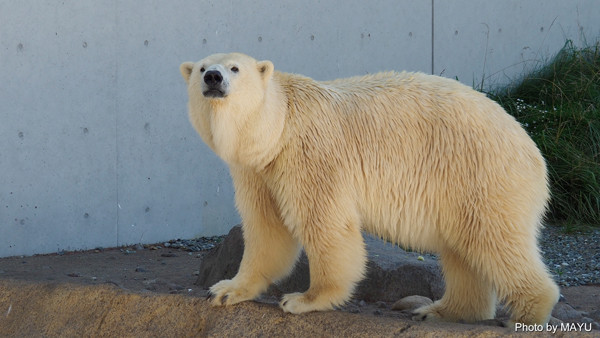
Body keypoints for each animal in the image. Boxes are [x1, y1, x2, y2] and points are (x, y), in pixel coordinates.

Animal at [178, 52, 556, 324]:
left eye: (235, 67)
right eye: (201, 68)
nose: (213, 78)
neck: (278, 127)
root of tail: (531, 147)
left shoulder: (309, 154)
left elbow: (325, 224)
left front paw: (304, 299)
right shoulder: (257, 171)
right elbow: (266, 229)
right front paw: (225, 290)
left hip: (481, 173)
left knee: (494, 238)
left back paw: (526, 314)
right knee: (464, 250)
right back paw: (441, 310)